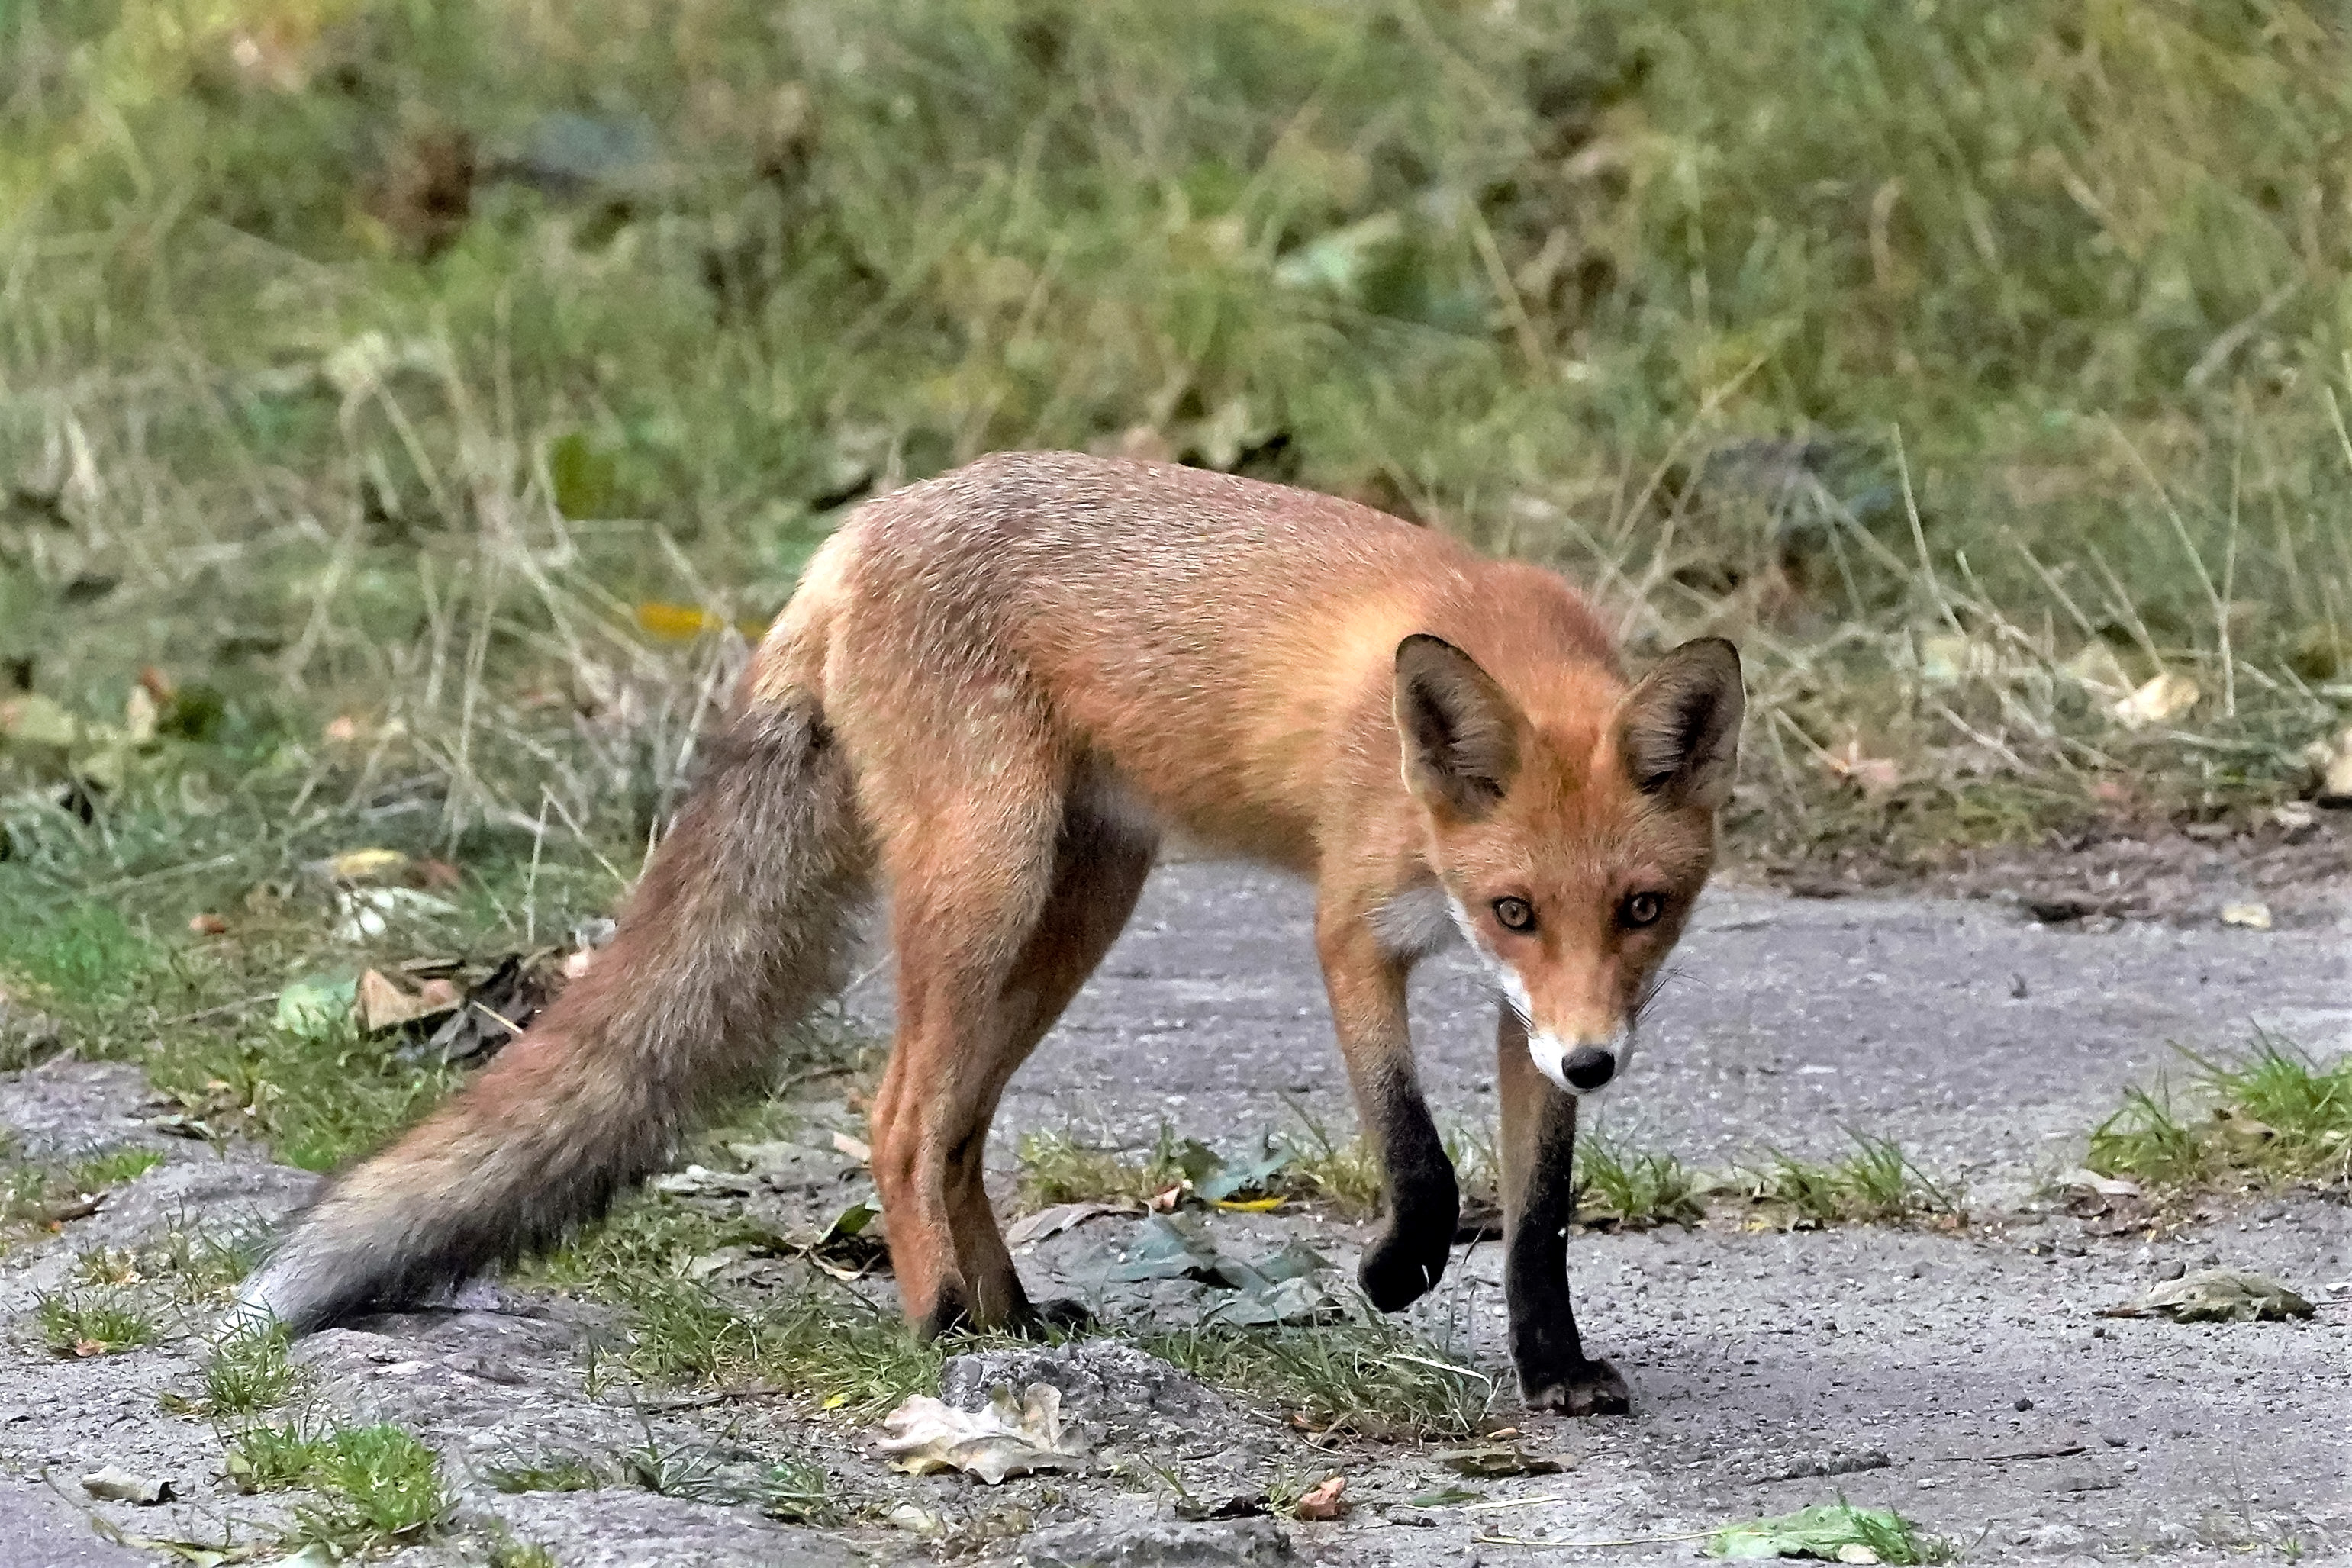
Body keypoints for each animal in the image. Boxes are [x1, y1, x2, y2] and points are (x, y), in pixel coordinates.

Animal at [236, 450, 1742, 1415]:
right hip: (991, 884)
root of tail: (854, 535)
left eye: (1643, 910)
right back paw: (935, 1327)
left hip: (1078, 905)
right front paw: (1397, 1268)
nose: (1597, 1064)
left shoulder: (1520, 1010)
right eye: (1512, 908)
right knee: (900, 1112)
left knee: (956, 1123)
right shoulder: (1357, 932)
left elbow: (1539, 1213)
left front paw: (1552, 1366)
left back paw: (1007, 1313)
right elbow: (1416, 1152)